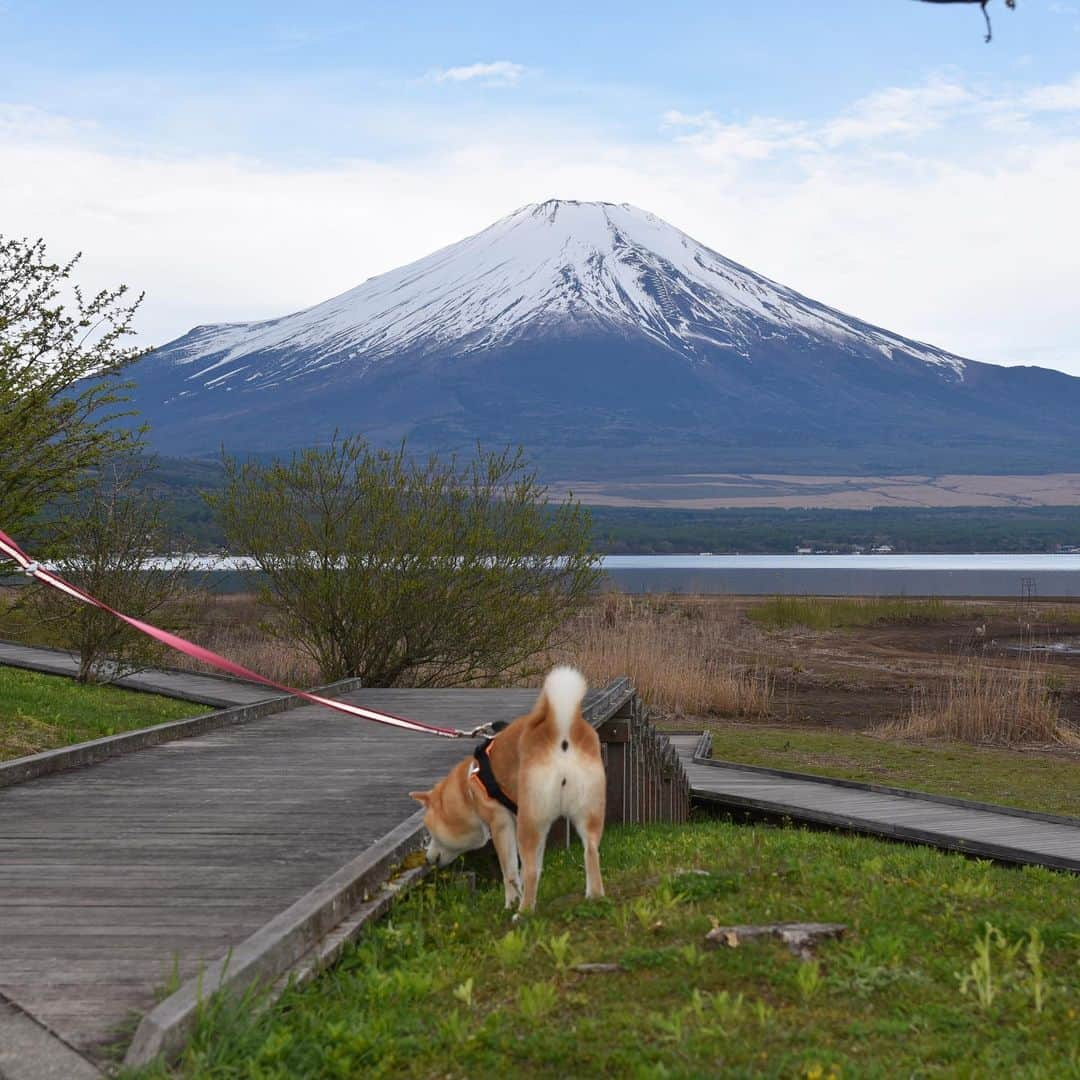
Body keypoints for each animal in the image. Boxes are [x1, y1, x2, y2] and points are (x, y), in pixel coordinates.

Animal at [406, 665, 604, 911]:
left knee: (530, 870)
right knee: (591, 852)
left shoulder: (501, 824)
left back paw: (524, 912)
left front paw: (511, 901)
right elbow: (526, 868)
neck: (468, 788)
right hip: (587, 814)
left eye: (429, 833)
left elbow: (509, 871)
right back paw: (594, 897)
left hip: (530, 822)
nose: (427, 859)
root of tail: (560, 728)